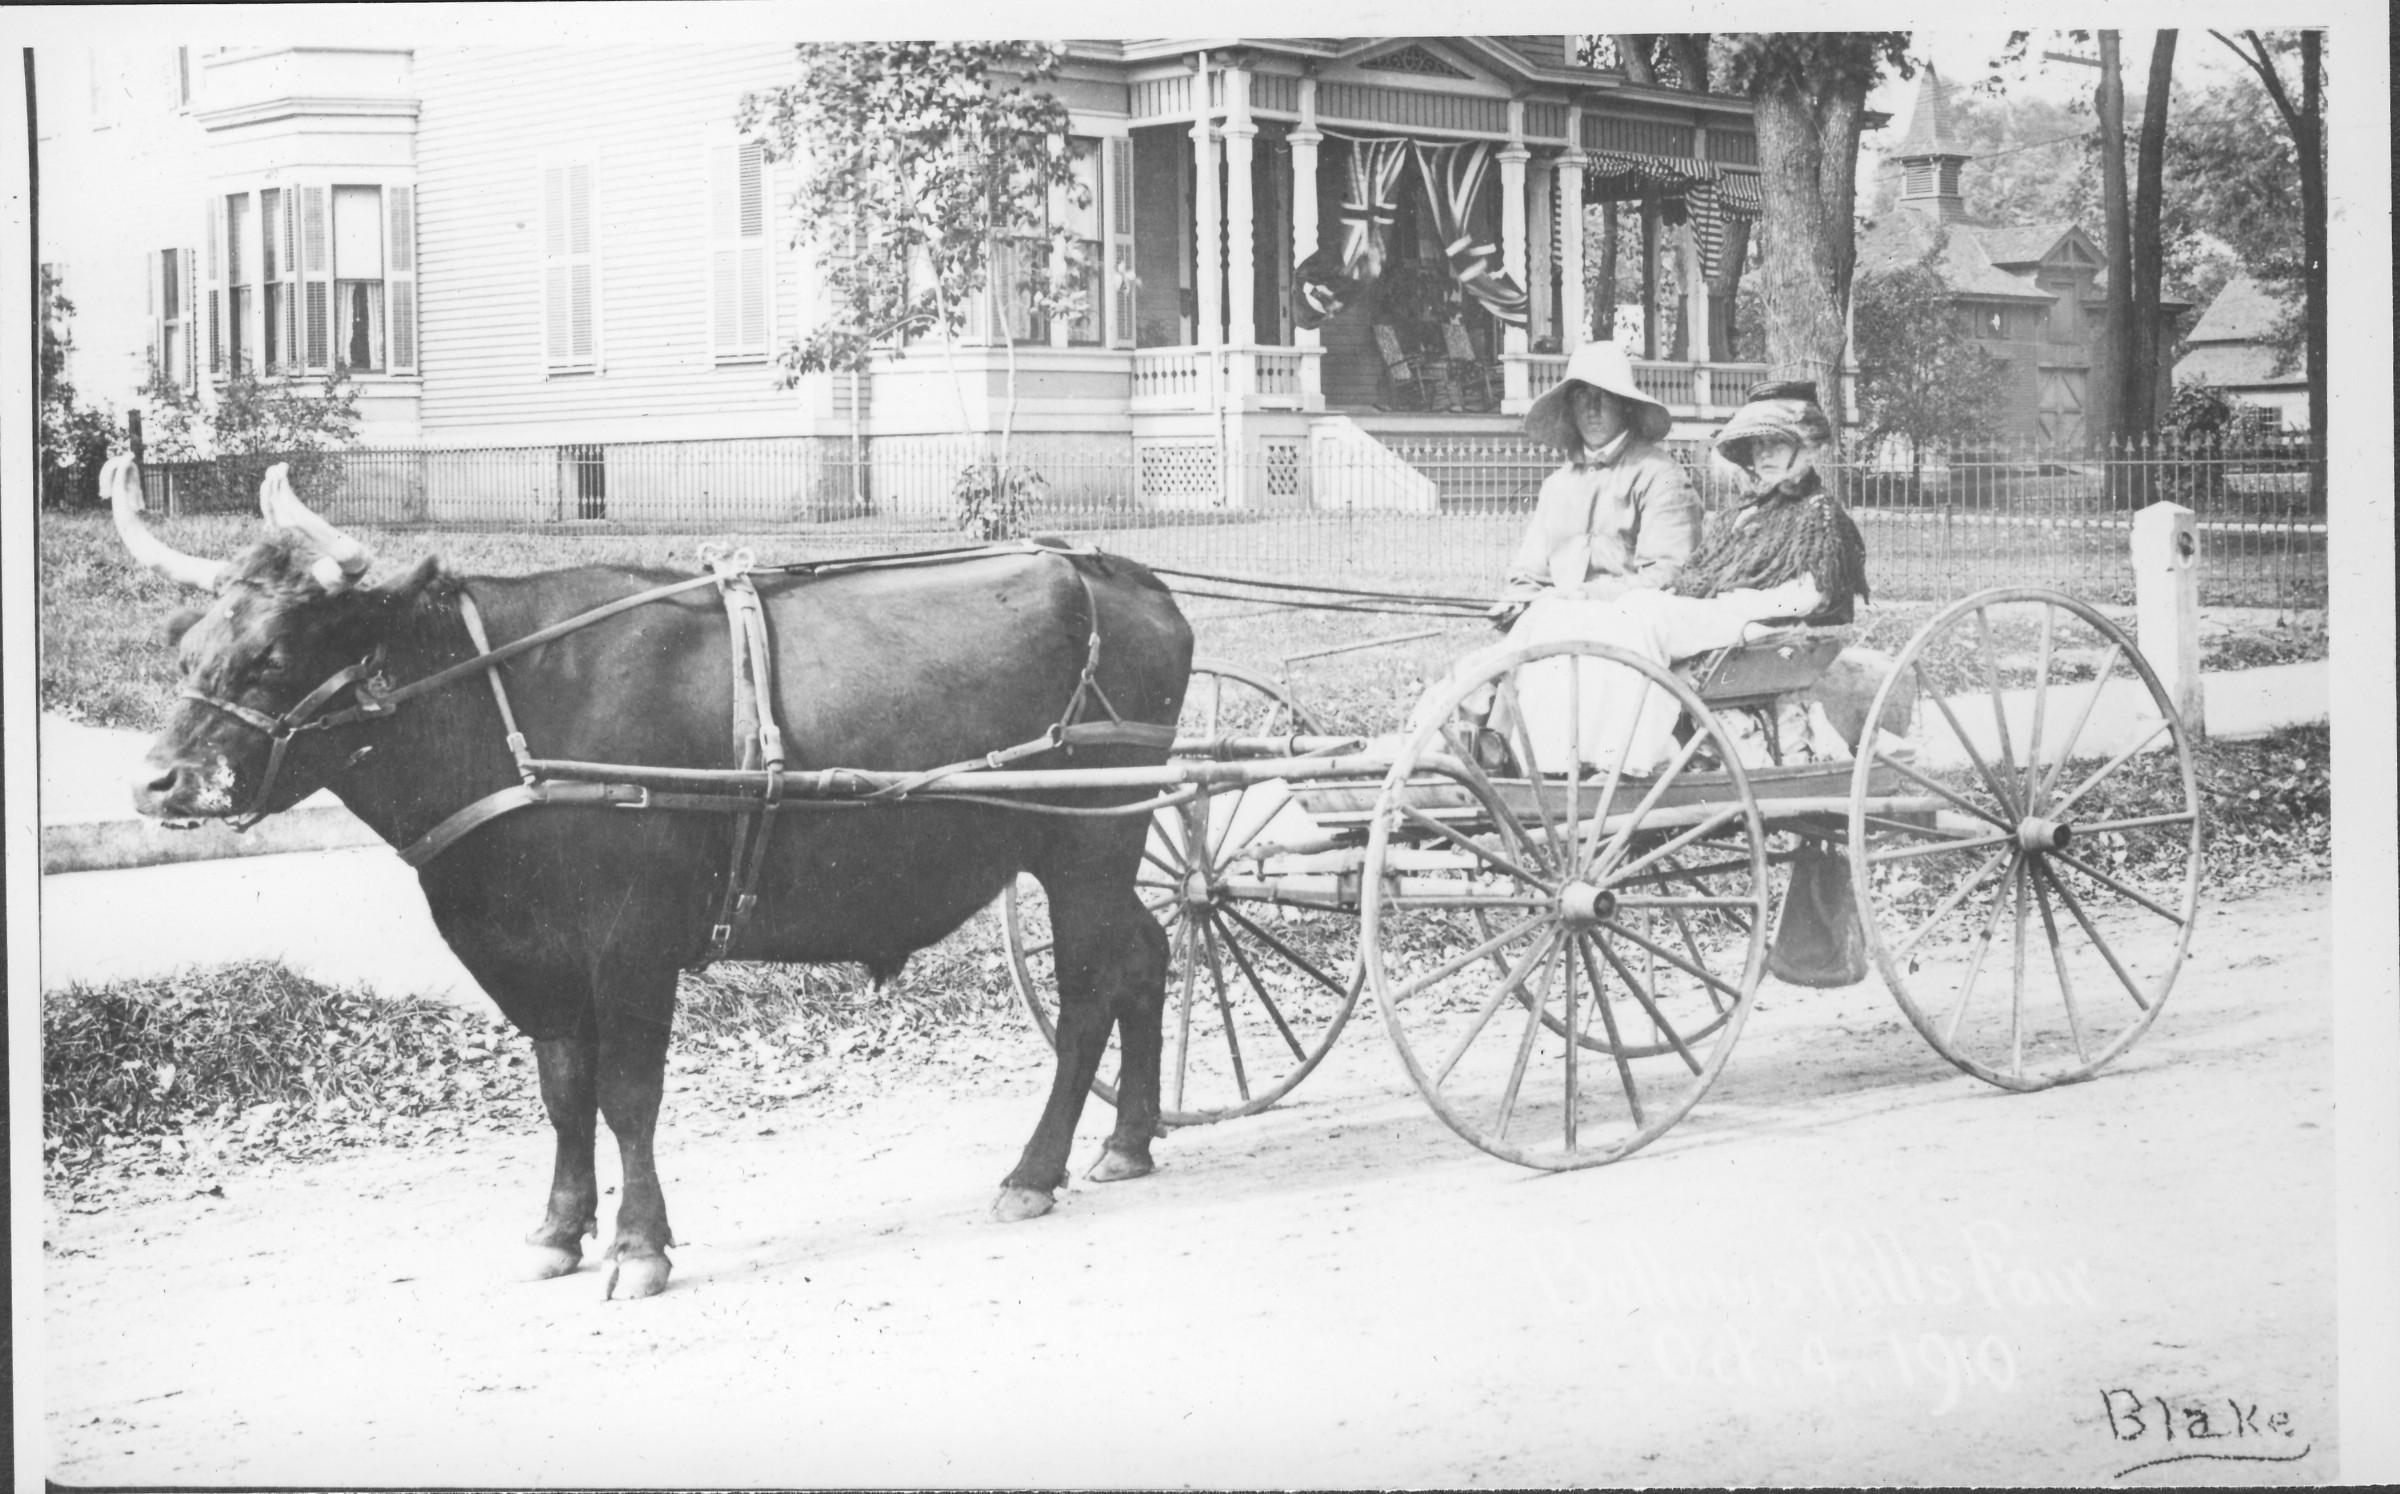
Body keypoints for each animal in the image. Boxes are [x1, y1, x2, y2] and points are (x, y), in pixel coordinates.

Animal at [106, 455, 1193, 1298]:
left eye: (273, 654)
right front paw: (558, 1232)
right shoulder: (525, 959)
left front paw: (638, 1247)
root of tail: (1125, 576)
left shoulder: (631, 945)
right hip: (1106, 849)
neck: (509, 712)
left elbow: (628, 1093)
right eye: (188, 648)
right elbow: (563, 1089)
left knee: (1089, 993)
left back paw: (1036, 1170)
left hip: (1088, 845)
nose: (156, 779)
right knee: (1151, 952)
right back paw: (1130, 1141)